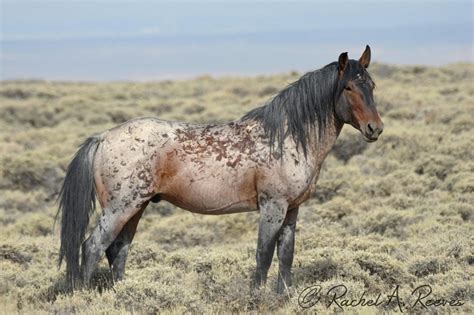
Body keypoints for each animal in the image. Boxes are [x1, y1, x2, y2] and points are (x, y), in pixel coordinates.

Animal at [58, 45, 386, 294]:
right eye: (348, 87)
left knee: (118, 250)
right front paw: (257, 296)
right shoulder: (273, 207)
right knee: (93, 247)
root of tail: (103, 138)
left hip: (135, 208)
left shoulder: (292, 209)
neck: (286, 137)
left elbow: (286, 256)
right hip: (120, 208)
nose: (375, 128)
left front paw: (284, 295)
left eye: (371, 85)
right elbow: (263, 255)